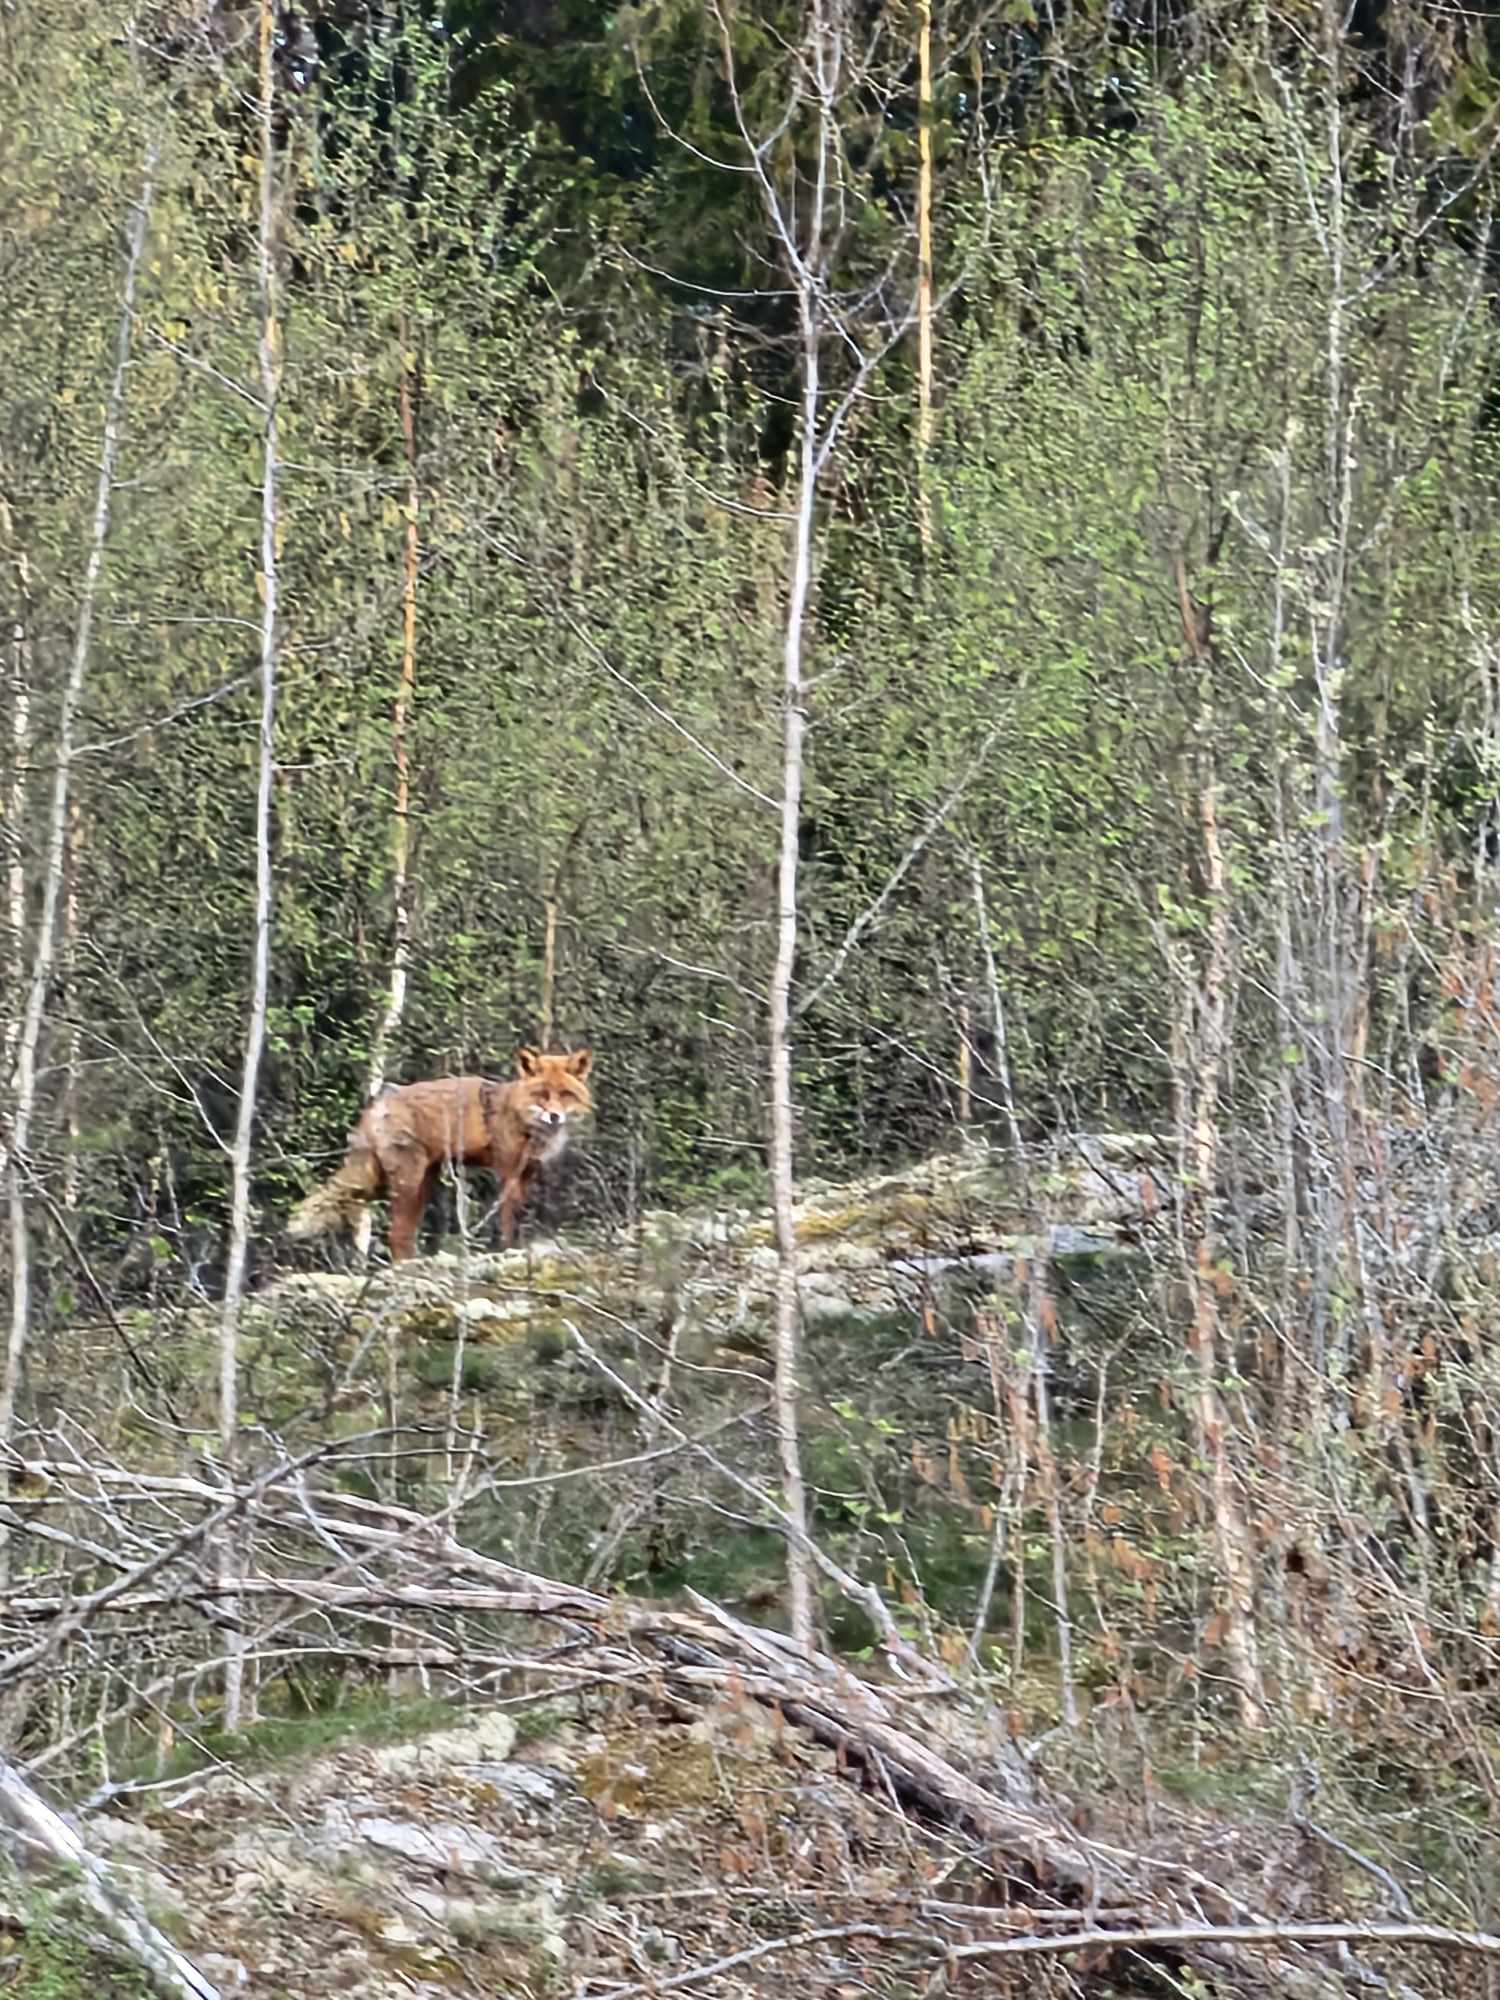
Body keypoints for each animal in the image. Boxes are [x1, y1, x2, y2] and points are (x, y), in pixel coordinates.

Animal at [289, 1047, 594, 1261]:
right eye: (542, 1094)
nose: (554, 1116)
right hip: (407, 1182)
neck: (525, 1122)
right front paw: (509, 1249)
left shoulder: (527, 1172)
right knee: (396, 1234)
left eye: (565, 1094)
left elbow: (516, 1217)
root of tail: (379, 1102)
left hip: (424, 1183)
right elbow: (508, 1221)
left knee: (404, 1234)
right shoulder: (508, 1171)